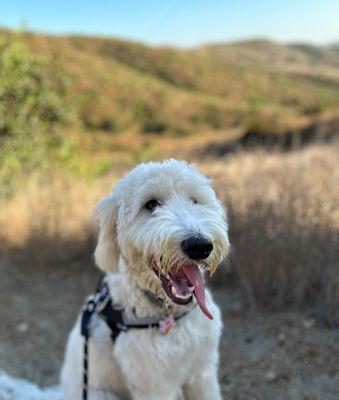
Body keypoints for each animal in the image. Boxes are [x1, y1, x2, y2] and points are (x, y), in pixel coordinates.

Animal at [61, 160, 231, 400]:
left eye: (194, 200)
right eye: (151, 204)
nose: (200, 245)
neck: (168, 316)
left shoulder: (203, 373)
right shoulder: (155, 385)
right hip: (99, 394)